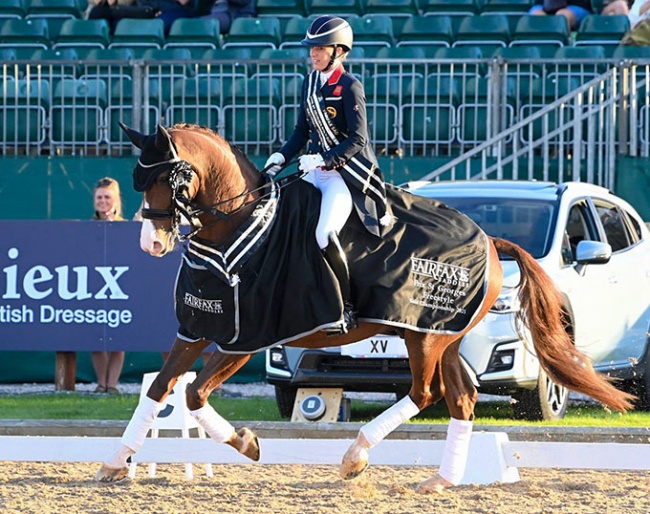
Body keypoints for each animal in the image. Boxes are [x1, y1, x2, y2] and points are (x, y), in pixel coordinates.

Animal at [93, 123, 632, 492]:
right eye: (139, 181)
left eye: (172, 179)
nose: (151, 244)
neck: (236, 227)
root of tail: (489, 239)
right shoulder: (198, 326)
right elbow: (160, 389)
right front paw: (116, 462)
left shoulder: (246, 339)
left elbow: (193, 394)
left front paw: (246, 442)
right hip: (445, 336)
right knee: (461, 397)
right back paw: (441, 480)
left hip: (422, 335)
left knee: (425, 392)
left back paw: (356, 455)